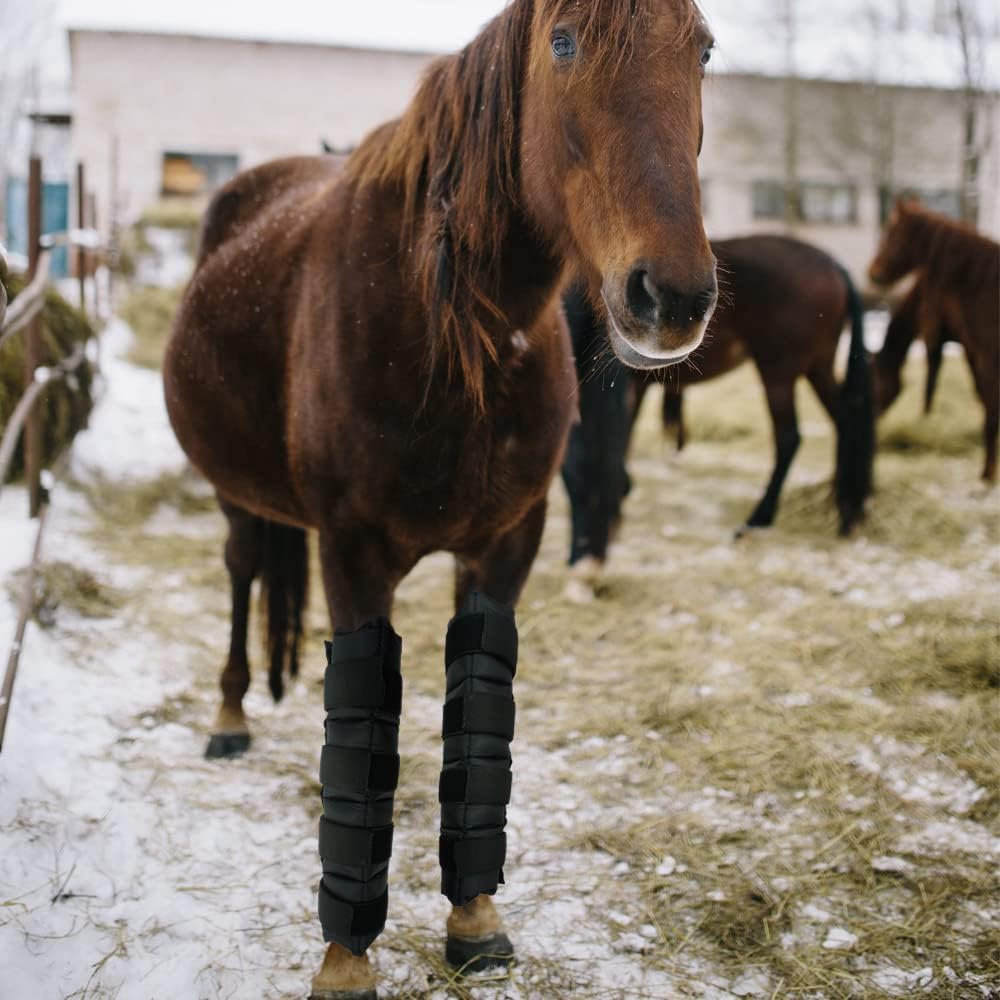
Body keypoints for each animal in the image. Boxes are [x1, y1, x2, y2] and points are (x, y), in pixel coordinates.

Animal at [163, 1, 717, 995]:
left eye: (703, 50)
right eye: (564, 42)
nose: (674, 296)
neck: (446, 330)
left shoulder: (507, 547)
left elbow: (476, 725)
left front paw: (475, 919)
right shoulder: (351, 551)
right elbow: (360, 738)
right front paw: (346, 956)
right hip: (237, 498)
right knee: (241, 573)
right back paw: (228, 717)